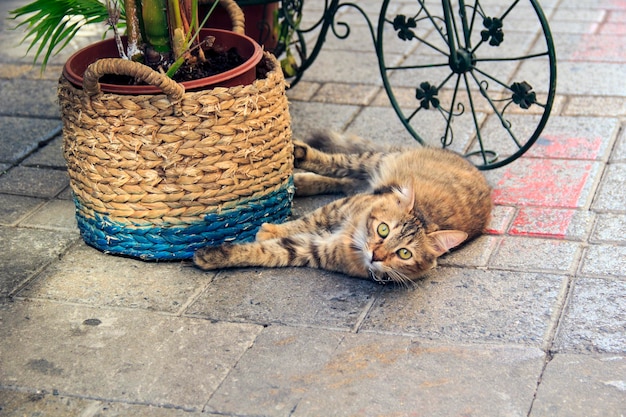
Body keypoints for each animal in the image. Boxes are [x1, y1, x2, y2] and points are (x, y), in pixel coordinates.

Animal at [195, 132, 492, 284]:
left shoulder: (312, 251)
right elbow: (305, 221)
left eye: (404, 253)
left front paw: (215, 256)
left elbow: (267, 252)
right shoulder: (336, 210)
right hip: (370, 162)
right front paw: (269, 230)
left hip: (365, 177)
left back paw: (301, 183)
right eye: (383, 230)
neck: (352, 238)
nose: (376, 255)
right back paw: (300, 156)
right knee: (336, 165)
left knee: (343, 179)